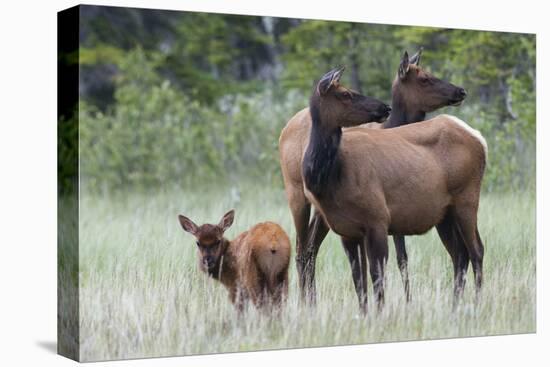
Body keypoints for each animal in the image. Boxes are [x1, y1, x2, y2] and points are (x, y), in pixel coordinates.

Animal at [280, 48, 470, 302]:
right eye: (424, 78)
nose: (460, 91)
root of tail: (284, 130)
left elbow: (396, 258)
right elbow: (393, 260)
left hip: (321, 213)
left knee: (311, 247)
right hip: (296, 196)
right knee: (302, 249)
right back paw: (305, 302)